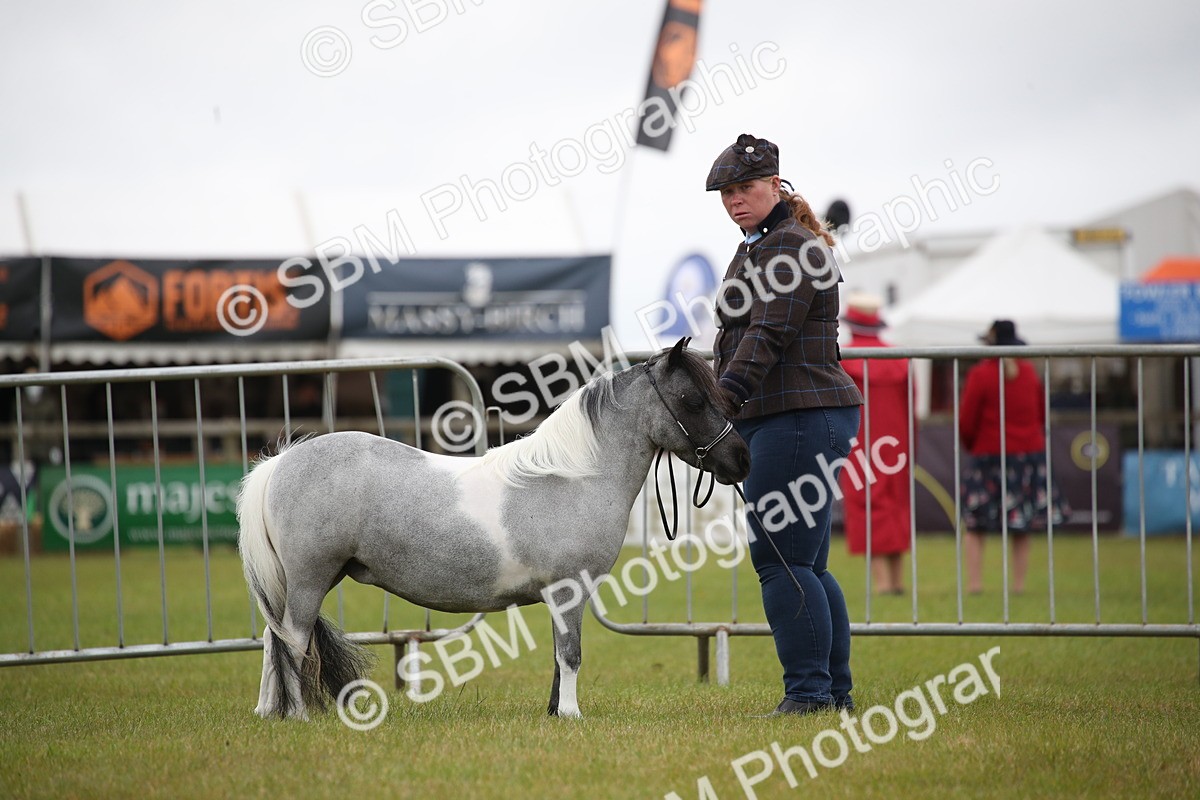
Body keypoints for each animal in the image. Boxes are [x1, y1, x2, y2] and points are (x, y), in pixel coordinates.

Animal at [236, 338, 750, 720]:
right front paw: (571, 715)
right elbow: (571, 653)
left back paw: (266, 712)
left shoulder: (560, 596)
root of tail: (283, 462)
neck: (575, 475)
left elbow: (558, 654)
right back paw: (297, 715)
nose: (741, 460)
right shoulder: (569, 590)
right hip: (310, 578)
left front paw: (554, 711)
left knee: (272, 639)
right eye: (693, 400)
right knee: (293, 640)